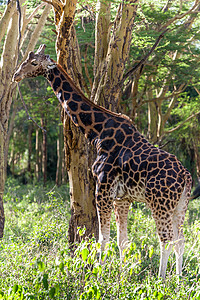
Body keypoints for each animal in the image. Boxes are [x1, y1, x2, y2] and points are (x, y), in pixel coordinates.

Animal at [13, 44, 199, 278]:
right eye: (24, 61)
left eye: (34, 62)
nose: (15, 75)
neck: (97, 132)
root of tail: (186, 176)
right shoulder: (122, 198)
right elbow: (122, 241)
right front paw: (122, 275)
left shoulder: (103, 188)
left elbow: (103, 238)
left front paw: (99, 275)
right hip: (180, 205)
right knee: (180, 240)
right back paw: (178, 279)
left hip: (160, 203)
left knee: (165, 240)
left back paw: (161, 280)